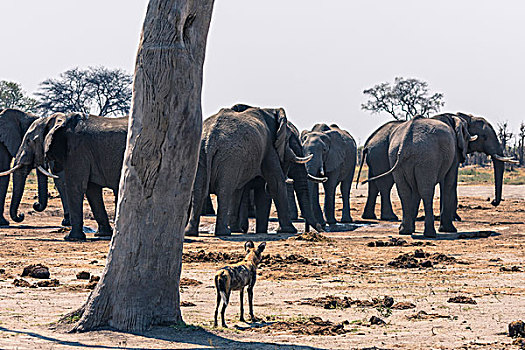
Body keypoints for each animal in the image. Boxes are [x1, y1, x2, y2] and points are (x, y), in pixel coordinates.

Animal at [6, 112, 127, 241]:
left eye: (29, 141)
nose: (21, 215)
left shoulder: (77, 150)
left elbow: (75, 187)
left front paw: (70, 238)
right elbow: (92, 190)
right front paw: (102, 234)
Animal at [183, 102, 312, 237]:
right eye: (291, 140)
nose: (307, 230)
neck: (270, 111)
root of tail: (210, 139)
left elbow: (251, 190)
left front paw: (246, 230)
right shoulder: (268, 147)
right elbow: (276, 184)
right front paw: (289, 231)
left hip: (202, 154)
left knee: (200, 190)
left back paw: (191, 232)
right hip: (229, 157)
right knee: (224, 191)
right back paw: (224, 232)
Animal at [358, 112, 516, 221]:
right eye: (484, 137)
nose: (493, 202)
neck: (463, 117)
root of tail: (368, 143)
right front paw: (454, 218)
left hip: (376, 157)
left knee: (374, 185)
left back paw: (370, 217)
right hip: (380, 155)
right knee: (385, 185)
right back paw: (391, 218)